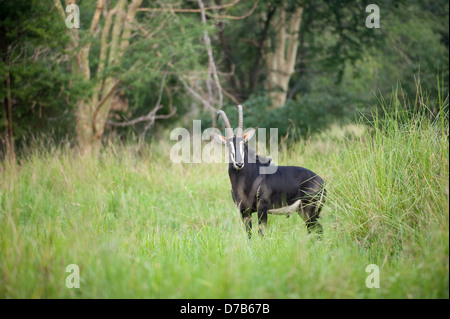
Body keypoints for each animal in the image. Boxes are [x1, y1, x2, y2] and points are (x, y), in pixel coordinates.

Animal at [213, 106, 326, 239]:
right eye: (228, 144)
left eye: (244, 143)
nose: (239, 164)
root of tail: (322, 182)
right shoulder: (244, 211)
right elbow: (249, 235)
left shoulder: (262, 208)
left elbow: (261, 233)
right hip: (303, 211)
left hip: (310, 210)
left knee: (317, 230)